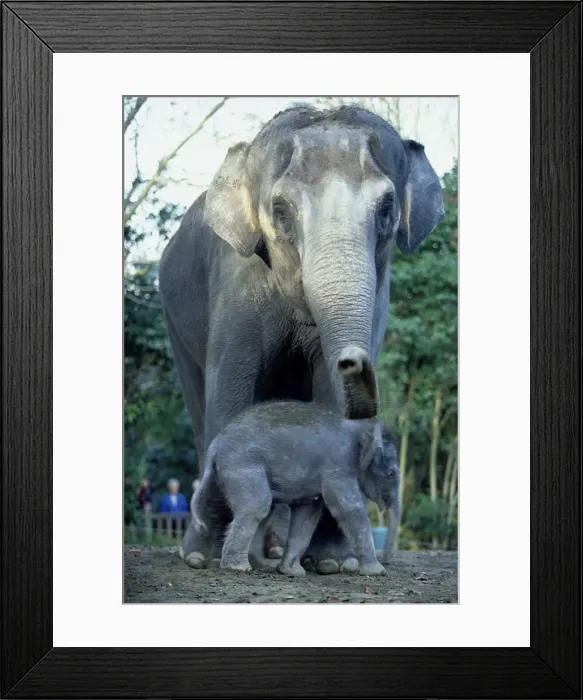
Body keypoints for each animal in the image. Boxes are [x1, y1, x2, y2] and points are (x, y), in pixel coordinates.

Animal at [158, 103, 444, 574]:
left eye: (386, 209)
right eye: (281, 210)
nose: (352, 360)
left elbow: (327, 397)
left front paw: (330, 563)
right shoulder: (237, 281)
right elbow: (231, 388)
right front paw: (203, 556)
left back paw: (275, 551)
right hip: (174, 319)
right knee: (200, 405)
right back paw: (209, 550)